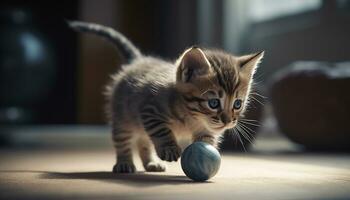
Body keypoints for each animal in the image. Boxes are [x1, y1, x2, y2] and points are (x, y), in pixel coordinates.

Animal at [69, 20, 264, 173]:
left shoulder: (206, 129)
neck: (192, 116)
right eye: (214, 103)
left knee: (143, 141)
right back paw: (124, 163)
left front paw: (206, 151)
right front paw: (169, 149)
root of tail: (138, 60)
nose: (228, 121)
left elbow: (206, 139)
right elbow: (161, 130)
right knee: (123, 140)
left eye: (237, 104)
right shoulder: (149, 109)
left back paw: (151, 163)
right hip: (122, 116)